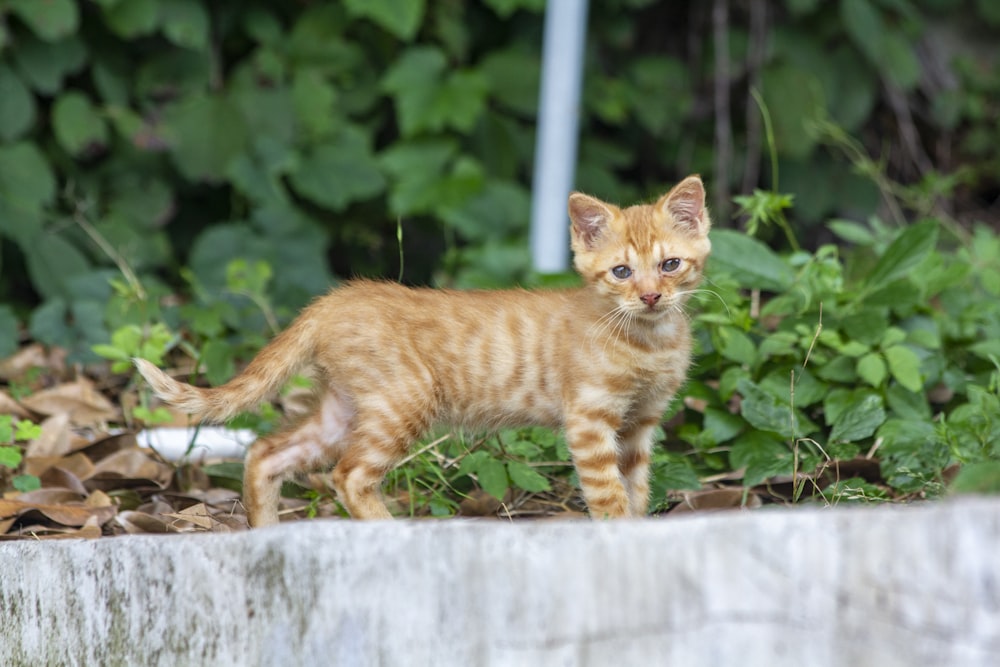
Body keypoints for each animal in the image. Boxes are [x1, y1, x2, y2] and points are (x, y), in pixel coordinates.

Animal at [135, 177, 712, 528]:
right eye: (621, 272)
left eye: (670, 265)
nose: (650, 296)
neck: (649, 339)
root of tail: (336, 297)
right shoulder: (591, 421)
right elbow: (609, 495)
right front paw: (619, 535)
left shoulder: (639, 424)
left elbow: (637, 487)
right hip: (402, 401)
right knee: (349, 475)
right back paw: (386, 531)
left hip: (345, 408)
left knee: (265, 452)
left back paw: (265, 530)